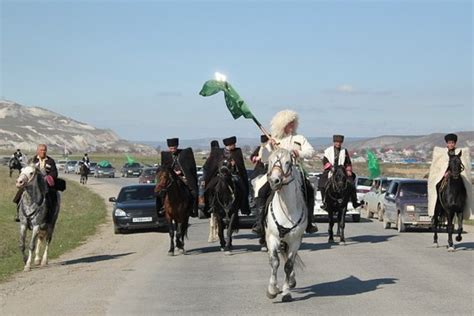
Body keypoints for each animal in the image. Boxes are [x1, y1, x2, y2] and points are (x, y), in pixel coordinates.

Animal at [264, 149, 306, 302]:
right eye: (270, 161)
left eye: (288, 162)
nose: (274, 181)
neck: (287, 209)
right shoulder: (272, 238)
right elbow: (274, 262)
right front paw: (272, 290)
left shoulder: (295, 241)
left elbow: (288, 265)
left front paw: (286, 292)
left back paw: (291, 281)